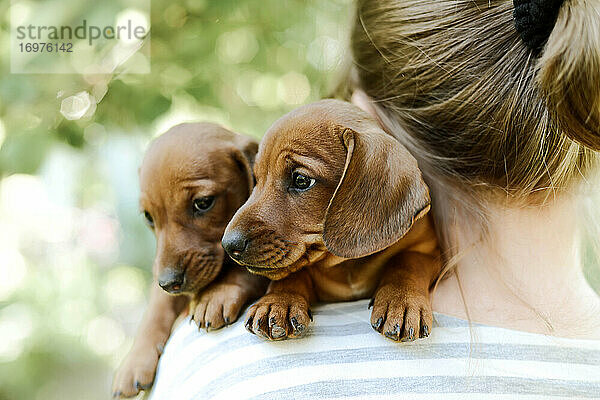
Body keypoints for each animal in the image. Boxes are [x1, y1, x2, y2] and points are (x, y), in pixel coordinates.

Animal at [114, 122, 268, 396]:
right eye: (148, 217)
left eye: (203, 203)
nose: (168, 282)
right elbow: (156, 309)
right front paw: (133, 361)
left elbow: (246, 268)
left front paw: (217, 294)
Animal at [223, 99, 438, 340]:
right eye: (256, 179)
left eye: (301, 180)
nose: (228, 245)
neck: (346, 265)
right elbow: (293, 273)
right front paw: (278, 302)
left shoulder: (429, 250)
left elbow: (407, 262)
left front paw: (401, 300)